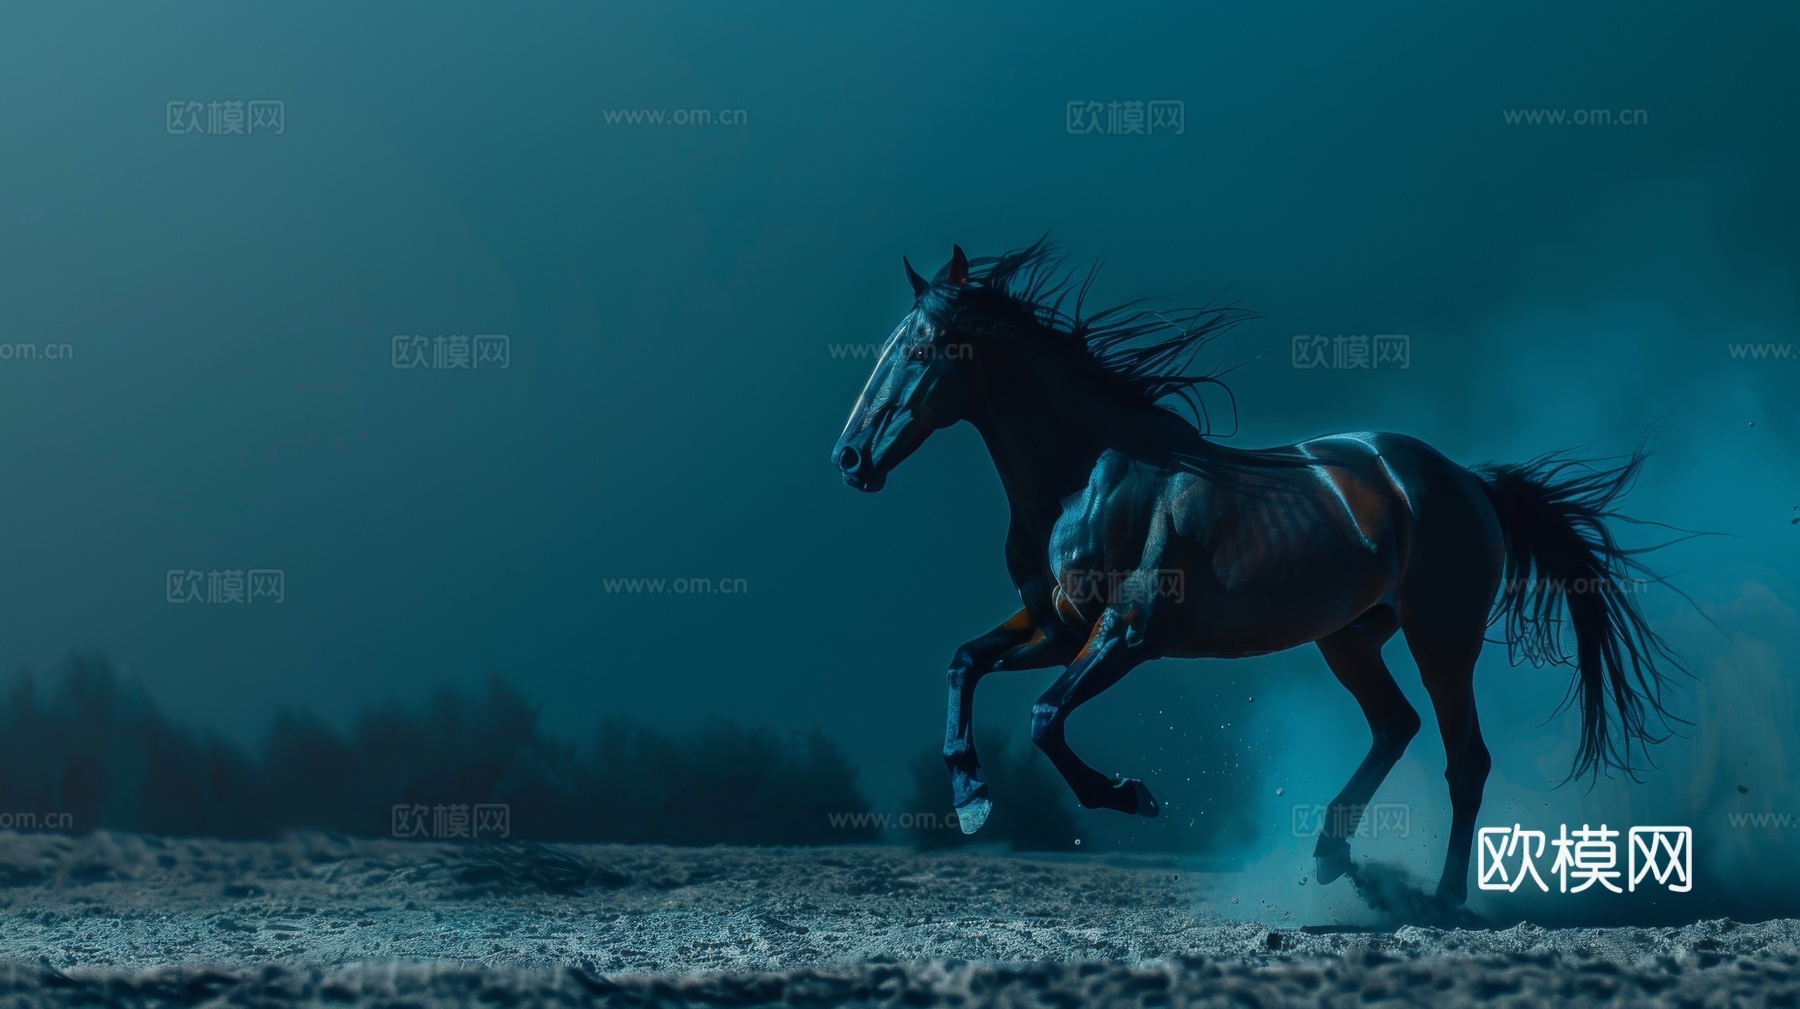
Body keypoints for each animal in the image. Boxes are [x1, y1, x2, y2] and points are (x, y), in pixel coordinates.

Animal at [830, 241, 1685, 905]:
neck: (1086, 475)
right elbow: (964, 663)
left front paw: (1129, 795)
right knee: (1396, 726)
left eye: (918, 348)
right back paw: (1334, 856)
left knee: (1464, 757)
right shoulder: (1056, 627)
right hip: (1349, 638)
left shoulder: (1129, 634)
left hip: (1443, 635)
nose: (849, 458)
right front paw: (971, 796)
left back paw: (1441, 899)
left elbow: (1044, 717)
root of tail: (1467, 479)